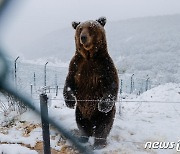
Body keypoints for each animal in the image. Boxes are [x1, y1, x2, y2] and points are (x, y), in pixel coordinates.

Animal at [63, 16, 119, 149]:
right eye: (80, 29)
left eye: (91, 27)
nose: (83, 37)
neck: (89, 56)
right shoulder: (76, 65)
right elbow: (69, 82)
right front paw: (70, 102)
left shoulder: (104, 65)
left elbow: (111, 84)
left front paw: (103, 105)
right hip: (80, 110)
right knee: (81, 124)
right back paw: (82, 138)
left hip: (103, 115)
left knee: (103, 126)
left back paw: (99, 143)